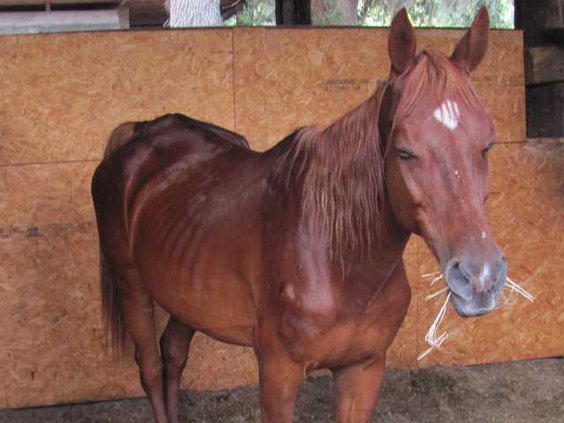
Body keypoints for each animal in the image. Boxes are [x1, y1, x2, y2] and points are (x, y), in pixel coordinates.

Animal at [92, 7, 506, 423]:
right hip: (132, 285)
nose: (480, 278)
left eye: (487, 144)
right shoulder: (278, 373)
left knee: (174, 355)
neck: (336, 257)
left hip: (185, 294)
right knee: (150, 367)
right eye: (404, 151)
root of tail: (139, 134)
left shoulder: (363, 370)